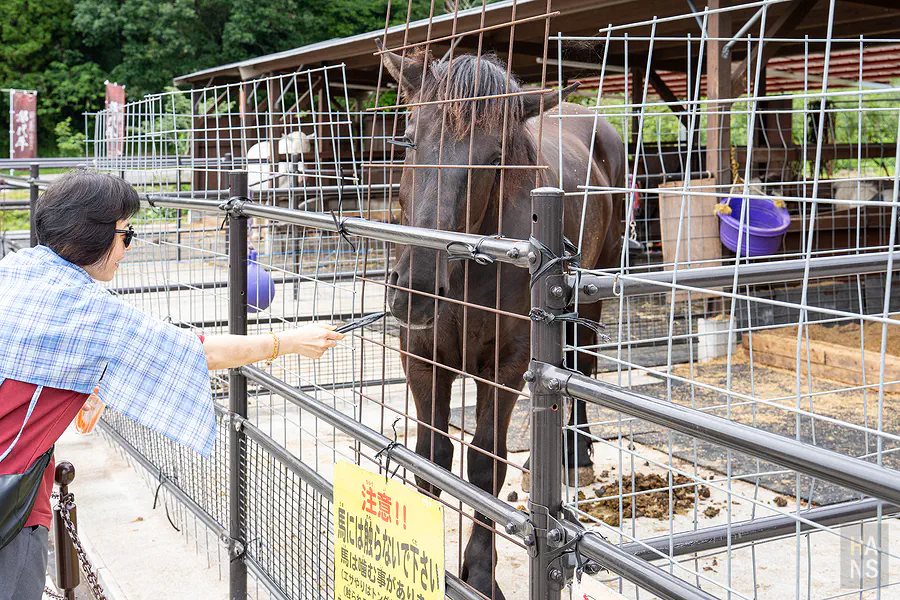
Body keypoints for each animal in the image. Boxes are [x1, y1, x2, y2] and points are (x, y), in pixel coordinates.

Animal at [379, 44, 624, 599]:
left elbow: (485, 465)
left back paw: (576, 455)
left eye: (494, 158)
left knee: (582, 366)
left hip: (593, 296)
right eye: (408, 138)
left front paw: (478, 574)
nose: (415, 290)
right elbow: (432, 457)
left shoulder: (506, 368)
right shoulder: (421, 359)